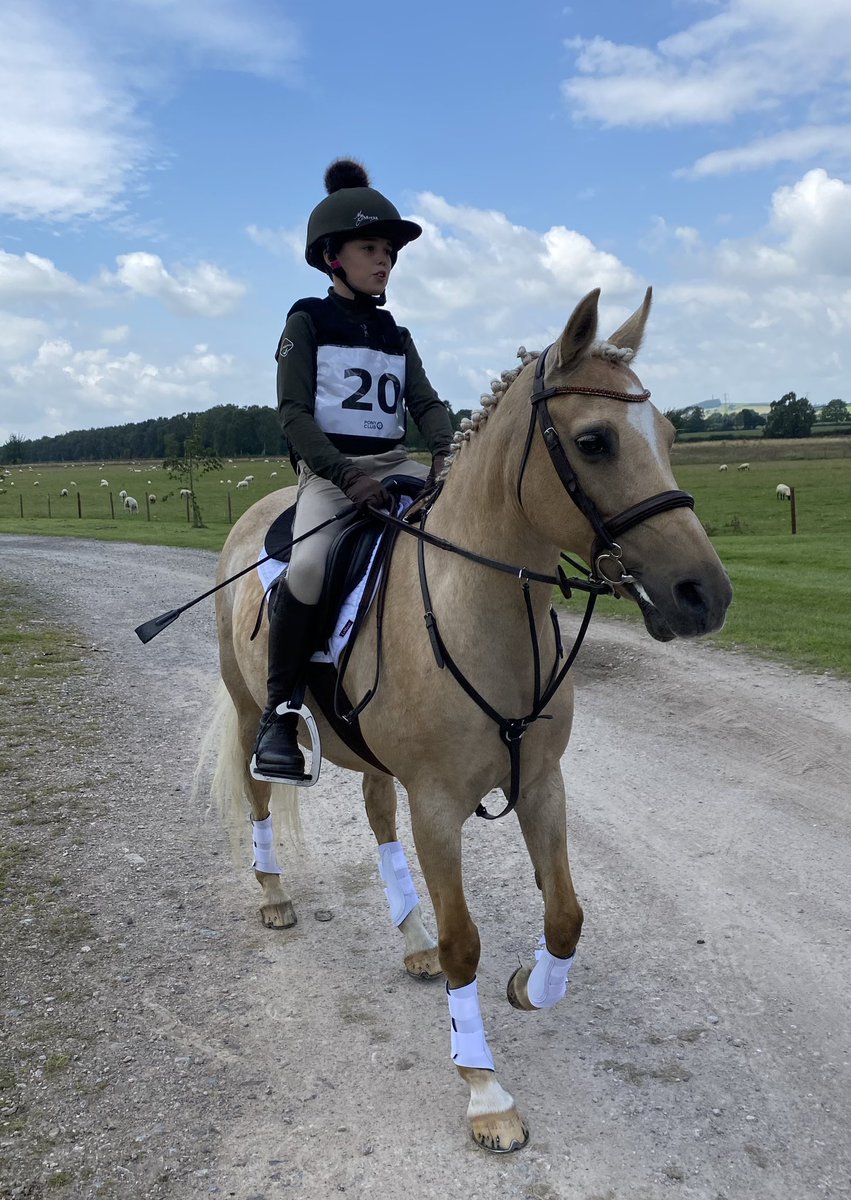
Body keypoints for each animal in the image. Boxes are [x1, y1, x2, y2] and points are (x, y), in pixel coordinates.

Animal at [210, 288, 732, 1153]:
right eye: (593, 441)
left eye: (667, 436)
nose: (704, 595)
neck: (479, 614)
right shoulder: (438, 807)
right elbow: (466, 945)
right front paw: (485, 1092)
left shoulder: (542, 784)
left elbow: (565, 915)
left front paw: (529, 985)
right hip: (253, 708)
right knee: (259, 796)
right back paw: (274, 895)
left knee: (376, 816)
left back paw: (409, 939)